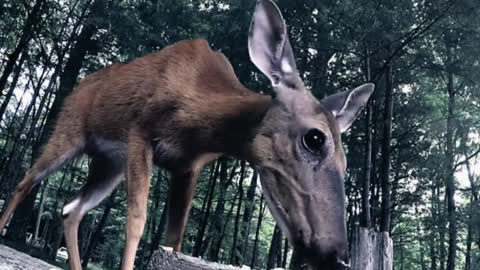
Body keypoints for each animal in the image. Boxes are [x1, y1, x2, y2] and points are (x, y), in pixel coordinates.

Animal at [0, 1, 374, 268]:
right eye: (315, 138)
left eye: (345, 160)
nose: (335, 254)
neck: (198, 118)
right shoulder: (141, 131)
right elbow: (137, 220)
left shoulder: (189, 165)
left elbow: (173, 239)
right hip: (70, 130)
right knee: (25, 181)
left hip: (109, 164)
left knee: (71, 209)